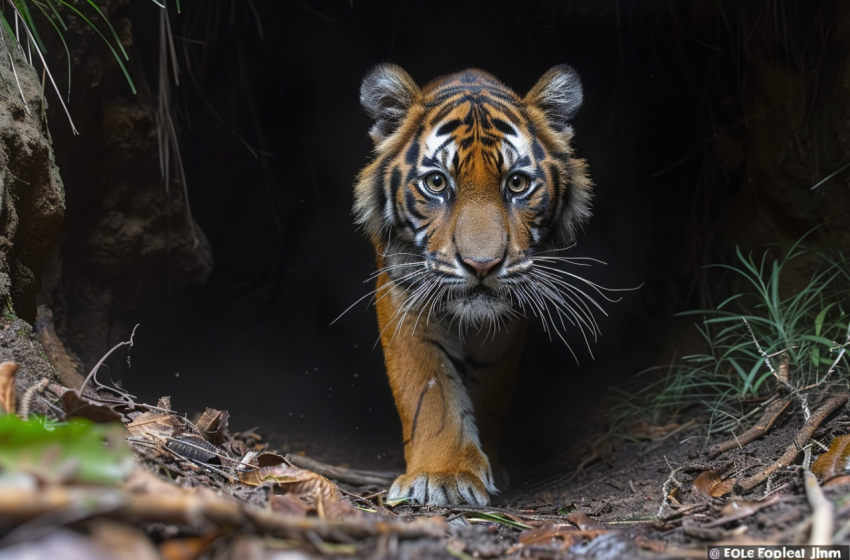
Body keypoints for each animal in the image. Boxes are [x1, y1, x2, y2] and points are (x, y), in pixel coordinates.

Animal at [352, 63, 588, 506]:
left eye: (517, 184)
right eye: (437, 183)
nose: (483, 265)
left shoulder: (507, 316)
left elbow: (490, 393)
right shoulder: (404, 294)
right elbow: (428, 389)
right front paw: (442, 475)